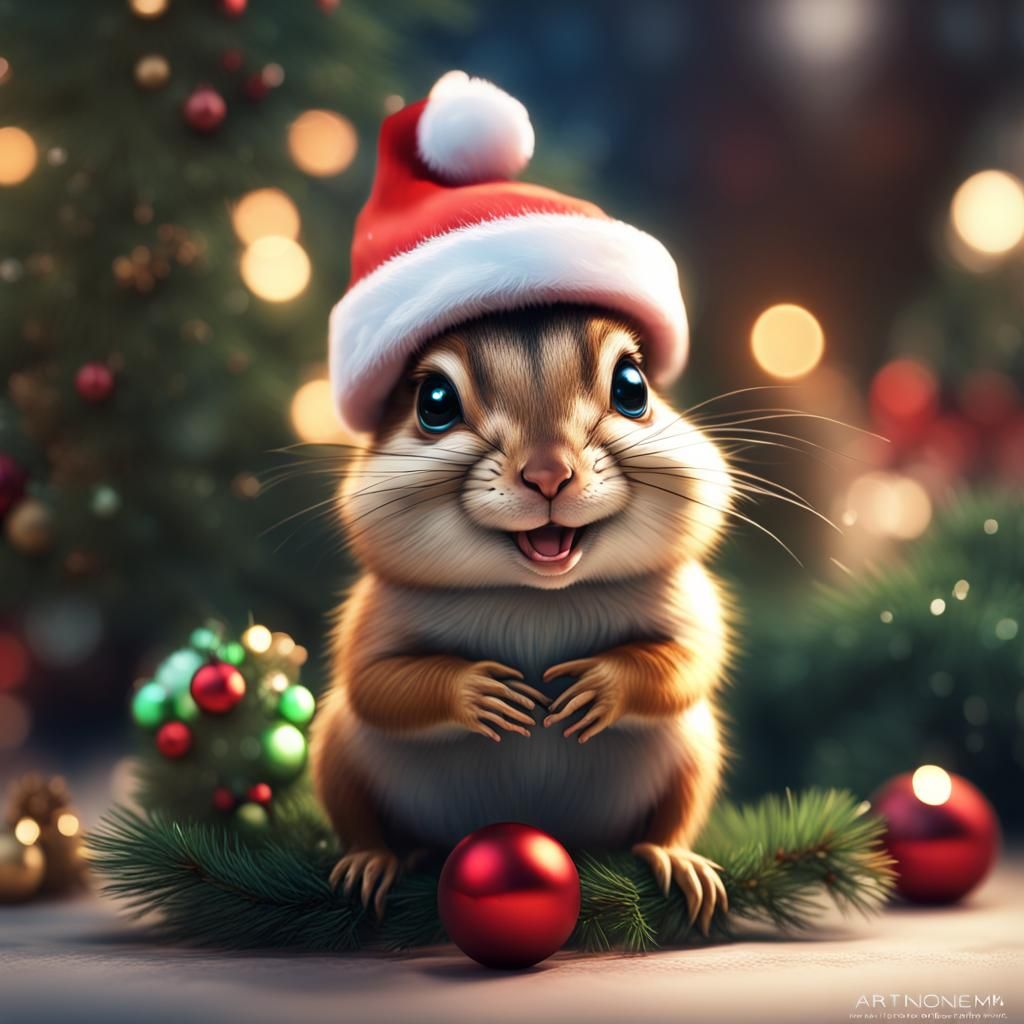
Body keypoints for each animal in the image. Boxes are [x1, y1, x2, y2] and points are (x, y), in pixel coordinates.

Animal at [310, 304, 733, 933]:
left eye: (633, 387)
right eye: (434, 402)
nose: (548, 472)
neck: (538, 597)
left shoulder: (690, 601)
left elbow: (690, 662)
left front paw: (596, 685)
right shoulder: (371, 620)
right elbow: (376, 683)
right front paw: (482, 692)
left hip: (694, 756)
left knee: (672, 821)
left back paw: (676, 859)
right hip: (337, 752)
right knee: (360, 819)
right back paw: (375, 861)